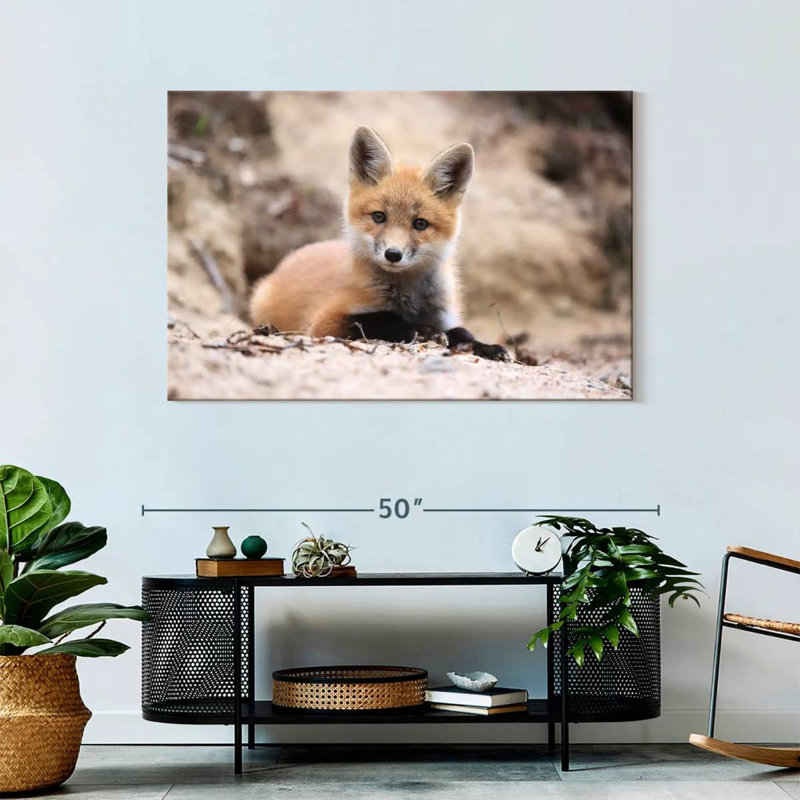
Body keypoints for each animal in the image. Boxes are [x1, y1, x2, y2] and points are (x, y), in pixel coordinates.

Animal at [248, 126, 509, 361]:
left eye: (420, 223)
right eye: (379, 216)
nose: (393, 254)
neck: (409, 299)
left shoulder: (445, 316)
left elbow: (463, 332)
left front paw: (487, 347)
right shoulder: (324, 322)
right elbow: (381, 319)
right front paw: (424, 331)